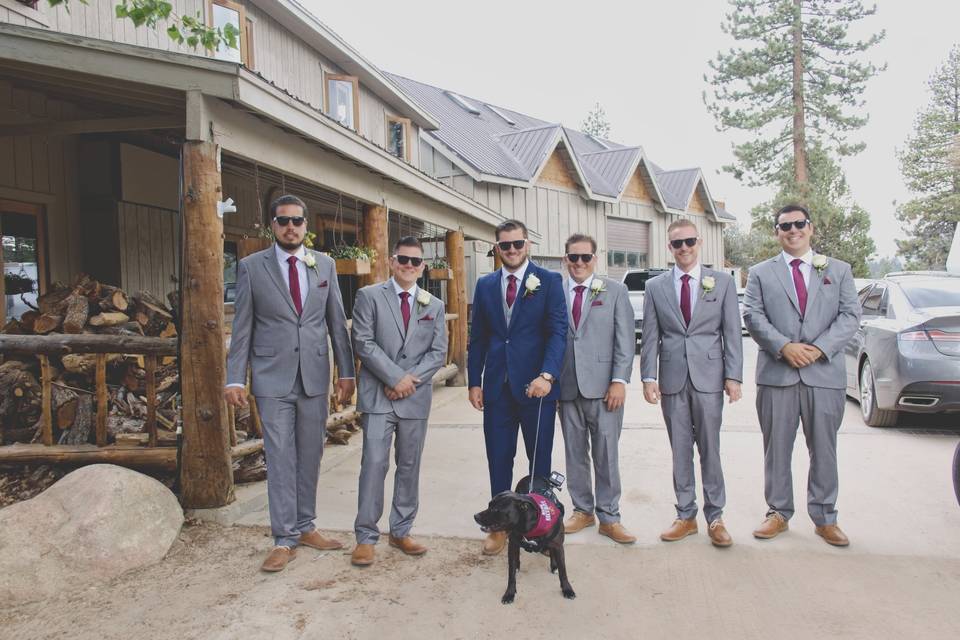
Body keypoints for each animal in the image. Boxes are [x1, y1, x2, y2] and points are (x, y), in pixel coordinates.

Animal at [474, 476, 576, 604]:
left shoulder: (558, 546)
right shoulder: (512, 544)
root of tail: (534, 476)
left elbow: (563, 571)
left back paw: (553, 565)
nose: (475, 516)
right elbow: (511, 573)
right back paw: (517, 565)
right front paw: (509, 593)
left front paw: (567, 589)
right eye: (489, 505)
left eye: (496, 510)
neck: (531, 526)